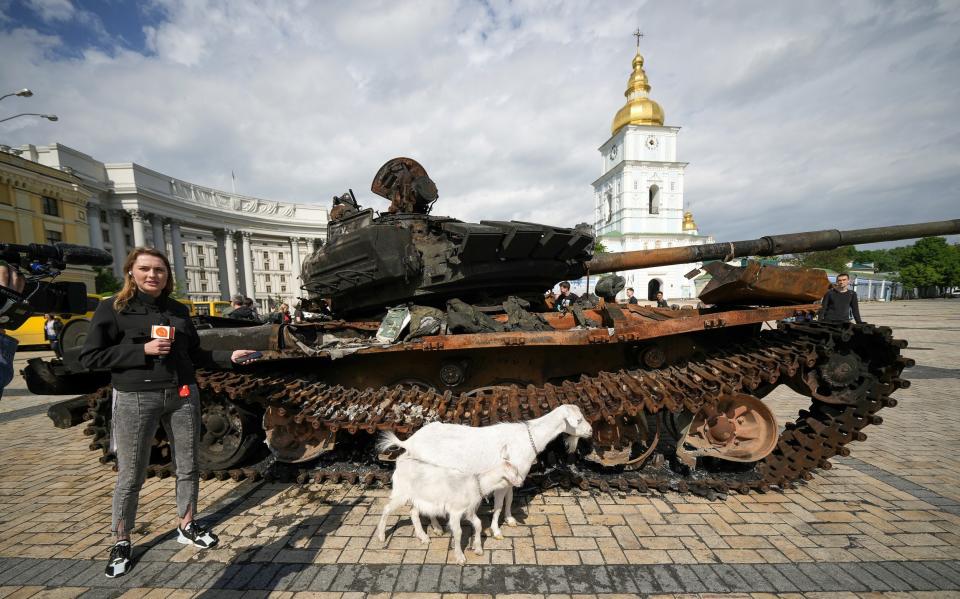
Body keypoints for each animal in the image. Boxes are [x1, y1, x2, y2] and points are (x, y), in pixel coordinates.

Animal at [376, 406, 588, 540]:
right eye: (578, 420)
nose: (590, 431)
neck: (528, 438)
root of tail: (409, 442)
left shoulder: (513, 480)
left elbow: (509, 500)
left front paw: (510, 520)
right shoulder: (502, 481)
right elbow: (498, 506)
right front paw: (496, 531)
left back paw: (435, 528)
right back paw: (433, 528)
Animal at [376, 448, 524, 564]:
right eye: (516, 472)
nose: (522, 482)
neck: (476, 484)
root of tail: (400, 463)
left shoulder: (469, 511)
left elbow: (478, 524)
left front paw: (478, 548)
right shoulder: (455, 512)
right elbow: (458, 532)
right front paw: (460, 557)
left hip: (419, 497)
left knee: (413, 512)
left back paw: (424, 536)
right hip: (401, 493)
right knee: (387, 508)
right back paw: (381, 536)